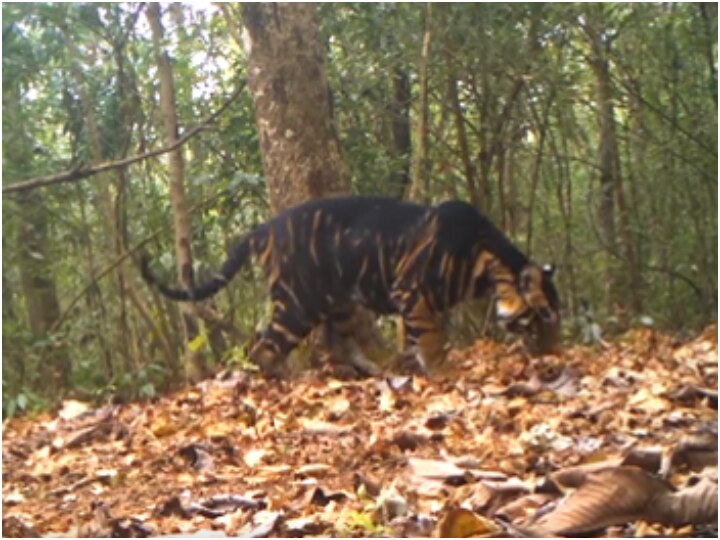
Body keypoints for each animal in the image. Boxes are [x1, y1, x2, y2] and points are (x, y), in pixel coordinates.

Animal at [138, 196, 560, 378]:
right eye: (542, 316)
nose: (553, 356)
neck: (488, 264)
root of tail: (261, 229)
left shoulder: (418, 304)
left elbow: (416, 339)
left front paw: (413, 366)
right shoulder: (412, 293)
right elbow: (431, 339)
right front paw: (444, 374)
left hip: (336, 301)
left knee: (339, 344)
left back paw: (370, 370)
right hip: (298, 303)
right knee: (264, 347)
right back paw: (292, 380)